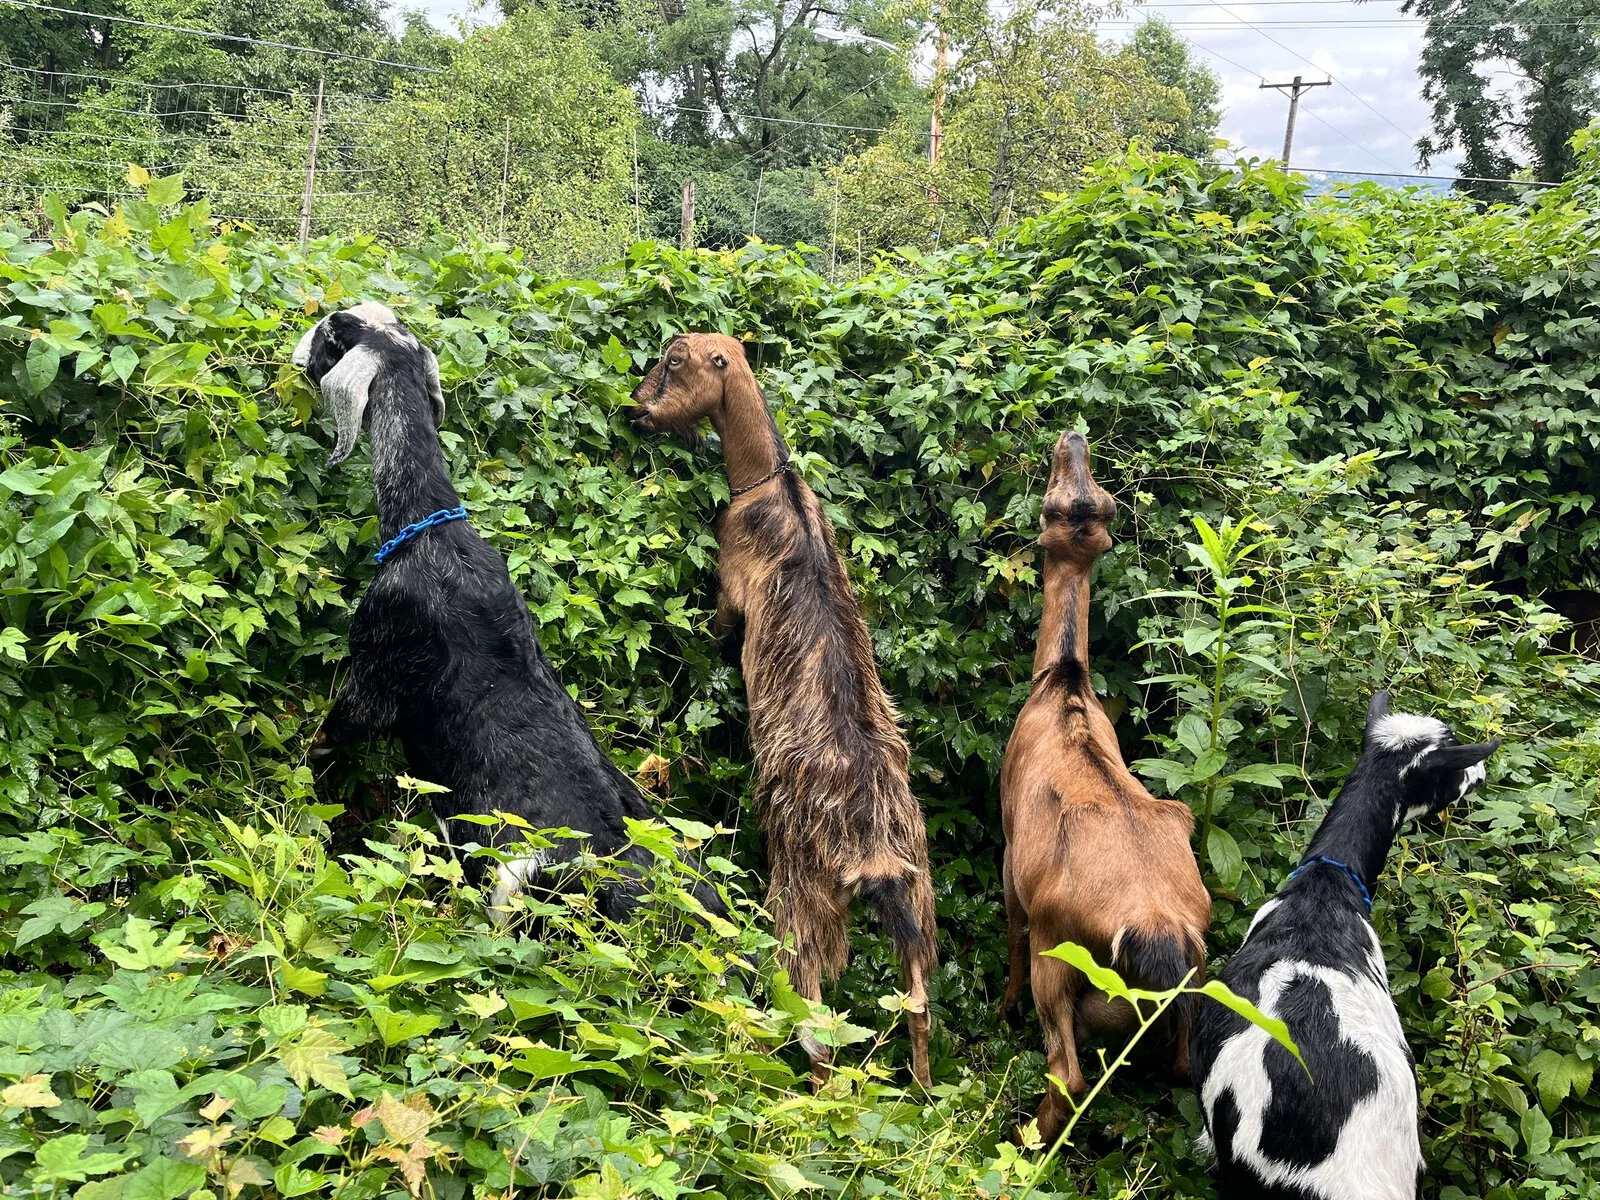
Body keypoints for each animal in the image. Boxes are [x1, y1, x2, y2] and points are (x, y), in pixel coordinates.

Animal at [630, 331, 940, 1088]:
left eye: (674, 362)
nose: (636, 410)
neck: (772, 487)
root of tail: (872, 853)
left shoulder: (730, 595)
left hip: (800, 895)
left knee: (816, 1024)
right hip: (918, 895)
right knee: (916, 1002)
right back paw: (925, 1094)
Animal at [998, 435, 1209, 1145]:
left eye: (1048, 504)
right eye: (1093, 502)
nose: (1072, 441)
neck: (1063, 682)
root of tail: (1159, 931)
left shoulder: (1010, 849)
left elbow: (1011, 927)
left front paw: (1002, 1006)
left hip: (1062, 954)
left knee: (1067, 1072)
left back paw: (1023, 1138)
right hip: (1200, 974)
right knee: (1187, 1065)